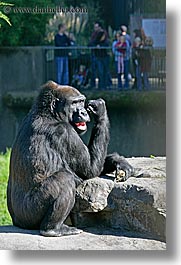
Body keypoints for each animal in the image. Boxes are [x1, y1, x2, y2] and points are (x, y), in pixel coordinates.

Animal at [7, 80, 134, 235]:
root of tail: (17, 222)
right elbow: (91, 169)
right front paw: (100, 111)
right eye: (74, 103)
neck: (49, 113)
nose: (83, 111)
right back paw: (53, 228)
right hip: (29, 213)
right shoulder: (65, 132)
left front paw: (119, 162)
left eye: (81, 101)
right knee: (64, 179)